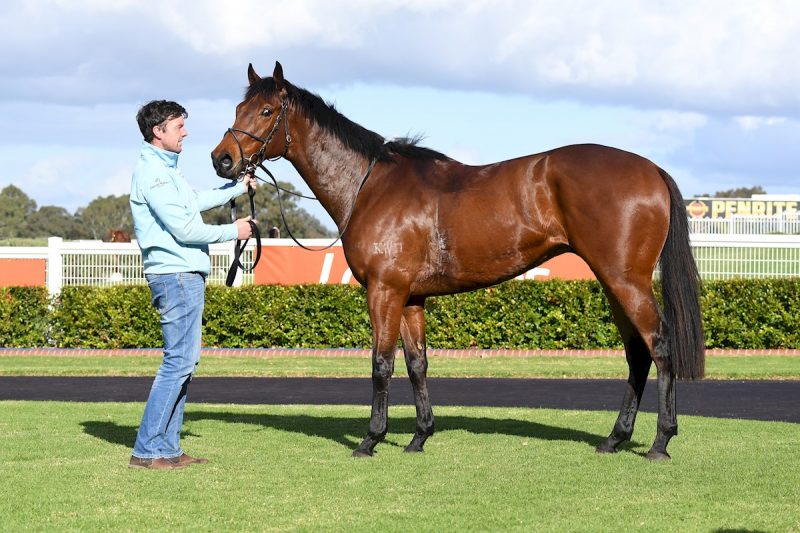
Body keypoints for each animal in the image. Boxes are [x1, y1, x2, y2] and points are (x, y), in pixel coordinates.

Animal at [211, 62, 704, 461]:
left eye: (267, 112)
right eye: (238, 107)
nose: (222, 160)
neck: (370, 186)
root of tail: (651, 170)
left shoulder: (384, 291)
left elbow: (380, 364)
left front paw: (371, 439)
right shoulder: (410, 298)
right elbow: (417, 364)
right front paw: (419, 436)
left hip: (625, 280)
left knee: (658, 346)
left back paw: (660, 441)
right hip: (612, 282)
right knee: (637, 354)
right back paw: (615, 439)